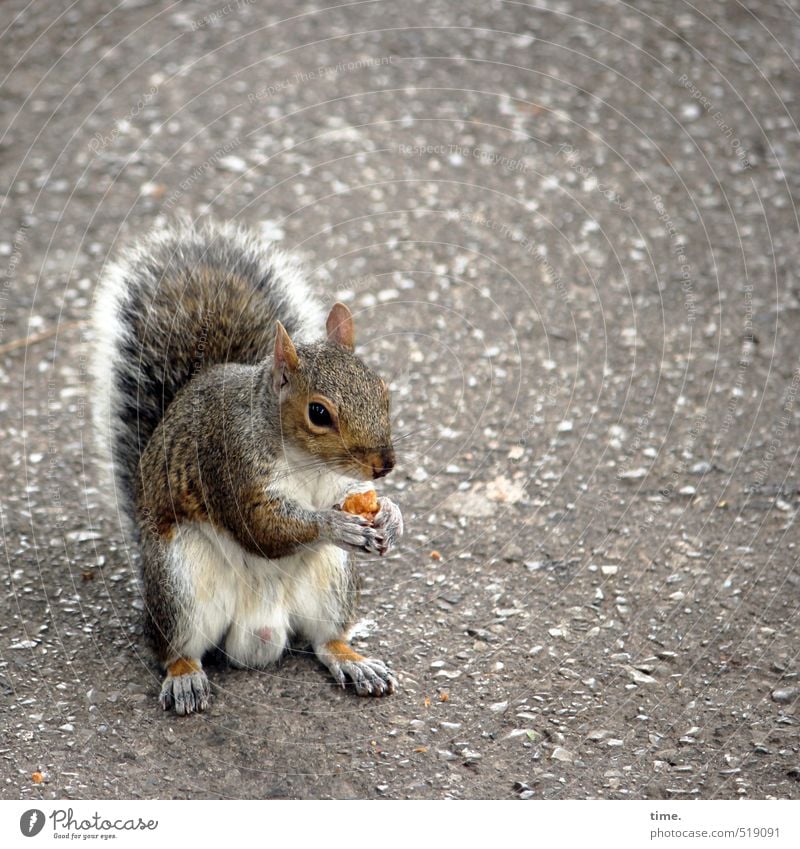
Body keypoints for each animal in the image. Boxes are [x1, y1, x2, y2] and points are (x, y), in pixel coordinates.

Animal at [93, 215, 404, 712]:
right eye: (319, 413)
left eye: (383, 391)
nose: (384, 466)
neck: (307, 464)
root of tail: (259, 632)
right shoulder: (228, 464)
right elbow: (260, 528)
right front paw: (334, 524)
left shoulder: (340, 485)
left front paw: (391, 515)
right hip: (180, 583)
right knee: (175, 647)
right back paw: (184, 676)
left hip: (331, 581)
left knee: (324, 641)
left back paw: (354, 661)